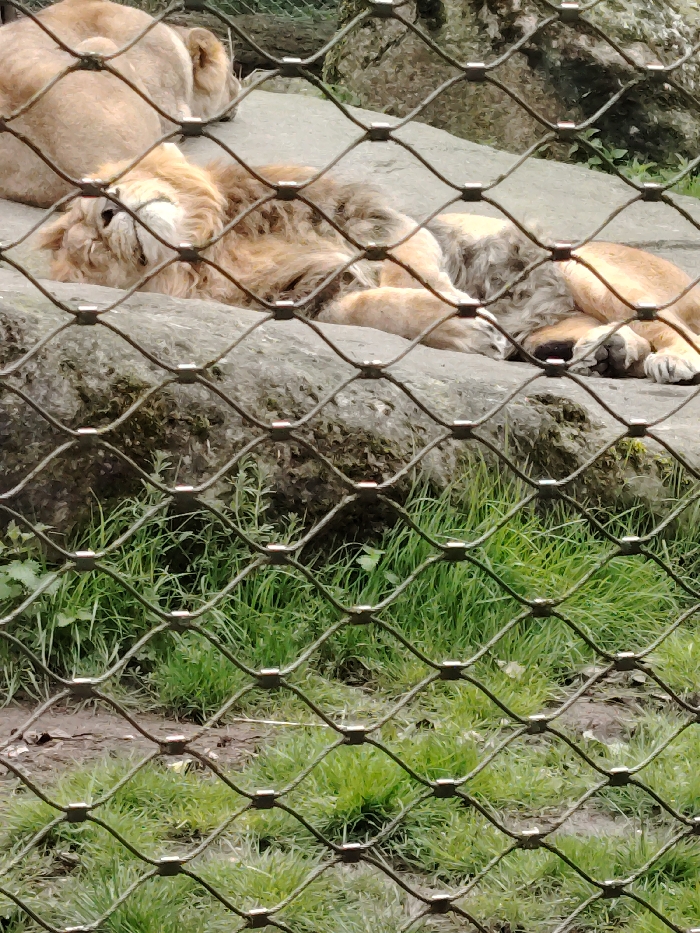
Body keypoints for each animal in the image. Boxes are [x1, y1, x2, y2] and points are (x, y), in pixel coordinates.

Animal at [36, 143, 700, 384]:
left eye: (100, 191)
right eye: (90, 250)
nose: (107, 215)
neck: (218, 248)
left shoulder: (376, 221)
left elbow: (412, 270)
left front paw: (458, 307)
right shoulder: (313, 296)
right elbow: (377, 307)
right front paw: (462, 331)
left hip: (580, 265)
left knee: (673, 327)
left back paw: (668, 361)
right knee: (595, 336)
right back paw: (606, 354)